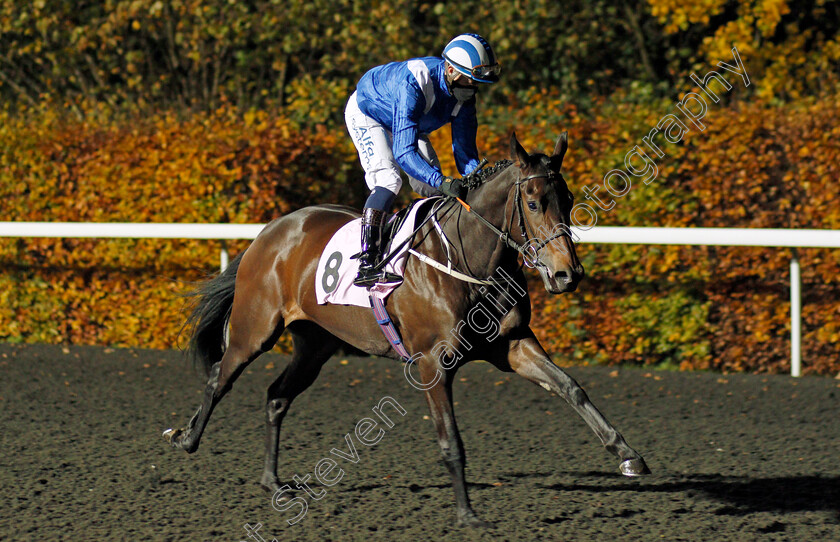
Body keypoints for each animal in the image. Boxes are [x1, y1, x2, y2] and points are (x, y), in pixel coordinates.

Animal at [164, 132, 648, 528]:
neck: (467, 260)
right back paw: (186, 438)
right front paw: (467, 513)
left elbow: (570, 387)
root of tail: (269, 233)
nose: (568, 274)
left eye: (567, 198)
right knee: (219, 378)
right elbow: (451, 440)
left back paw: (271, 480)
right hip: (255, 330)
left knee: (277, 396)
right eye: (532, 203)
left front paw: (627, 455)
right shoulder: (434, 363)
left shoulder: (512, 345)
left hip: (316, 344)